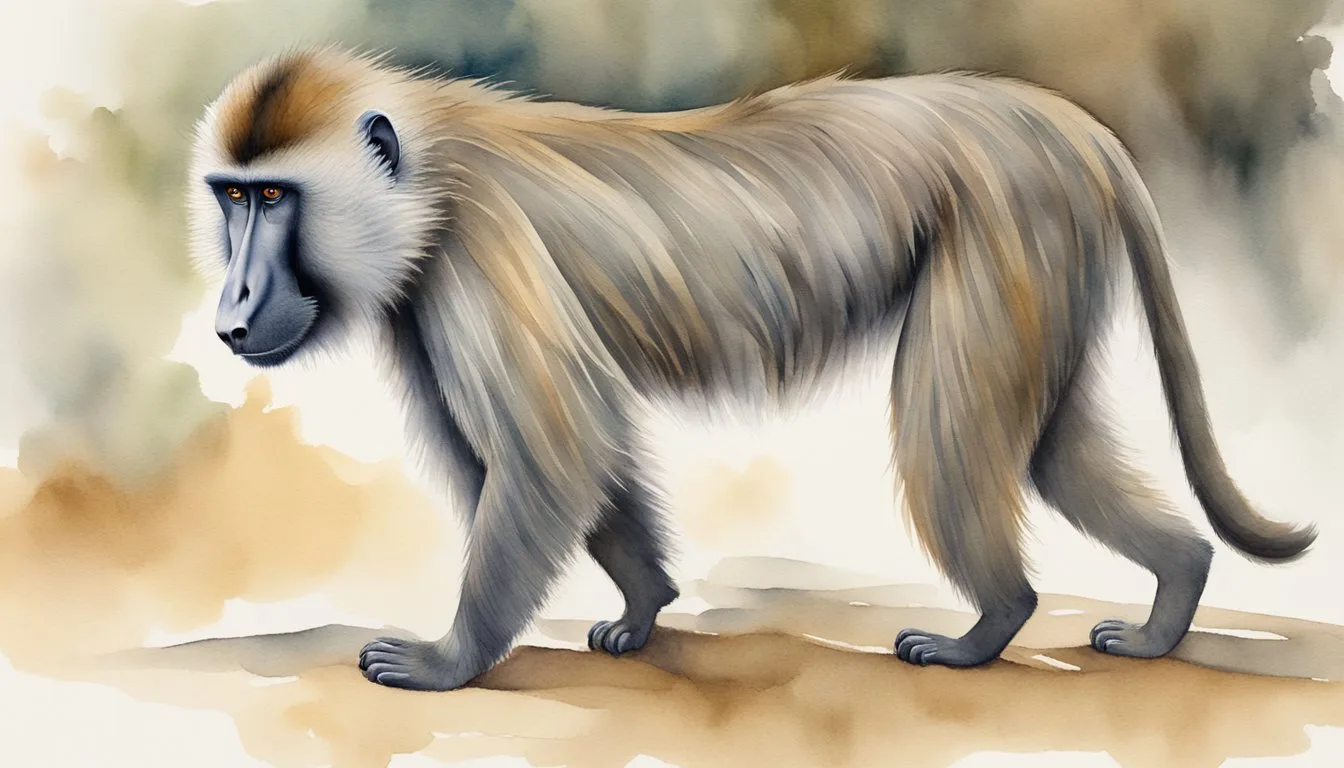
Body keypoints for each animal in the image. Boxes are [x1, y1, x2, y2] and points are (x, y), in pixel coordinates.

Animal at [187, 46, 1317, 692]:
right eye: (232, 199)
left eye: (273, 199)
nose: (231, 309)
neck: (429, 171)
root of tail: (1060, 120)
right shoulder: (425, 288)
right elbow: (562, 456)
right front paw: (646, 605)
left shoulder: (475, 249)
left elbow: (553, 449)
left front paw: (449, 662)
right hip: (1052, 253)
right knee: (1049, 447)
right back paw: (1177, 586)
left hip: (1013, 223)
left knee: (951, 432)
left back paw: (992, 625)